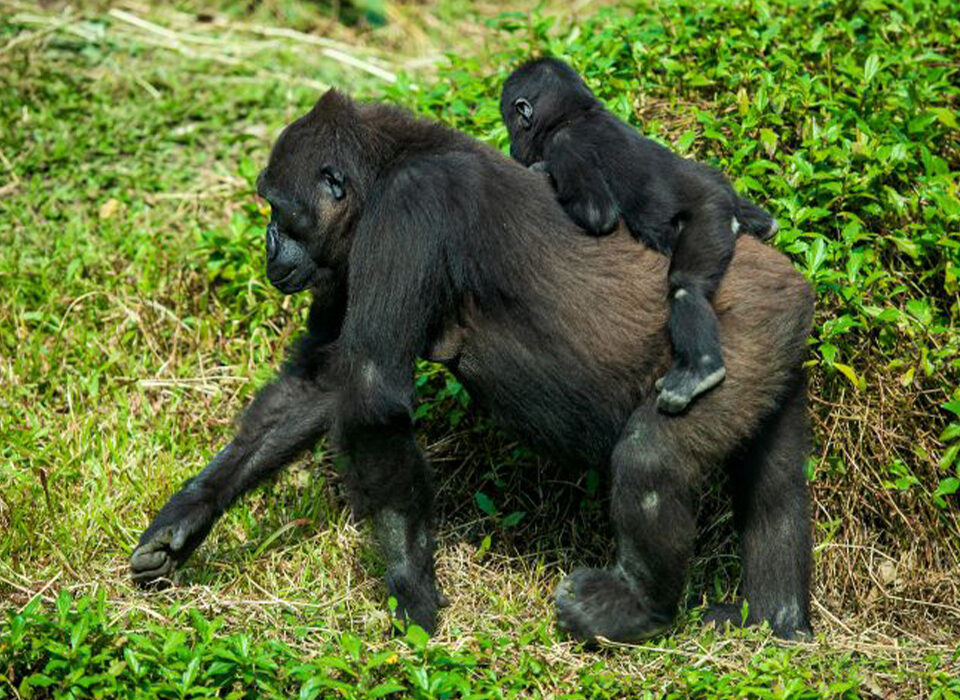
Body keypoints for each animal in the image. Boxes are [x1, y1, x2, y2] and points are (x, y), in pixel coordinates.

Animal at [501, 57, 781, 415]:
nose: (510, 145)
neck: (574, 114)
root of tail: (727, 202)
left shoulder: (565, 146)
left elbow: (597, 212)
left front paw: (540, 170)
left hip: (709, 218)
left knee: (686, 286)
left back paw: (700, 369)